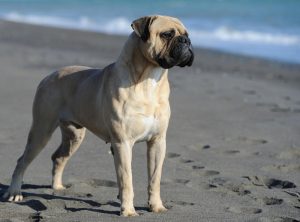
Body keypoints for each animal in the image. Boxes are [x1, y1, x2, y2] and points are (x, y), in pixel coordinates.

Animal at [2, 14, 192, 216]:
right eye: (167, 34)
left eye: (187, 34)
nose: (186, 41)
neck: (148, 80)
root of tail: (48, 76)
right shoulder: (123, 143)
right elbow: (127, 181)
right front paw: (128, 211)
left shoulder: (157, 142)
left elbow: (155, 178)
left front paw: (156, 206)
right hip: (41, 131)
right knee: (22, 161)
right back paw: (14, 192)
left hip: (74, 136)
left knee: (58, 157)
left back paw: (57, 187)